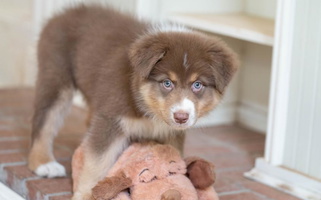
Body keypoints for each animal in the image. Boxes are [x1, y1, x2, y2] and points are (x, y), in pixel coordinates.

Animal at [28, 4, 238, 198]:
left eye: (198, 85)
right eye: (167, 83)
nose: (181, 117)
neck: (147, 108)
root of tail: (67, 12)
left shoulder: (171, 133)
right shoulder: (111, 119)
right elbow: (97, 161)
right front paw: (87, 194)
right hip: (56, 78)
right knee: (44, 122)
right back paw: (43, 163)